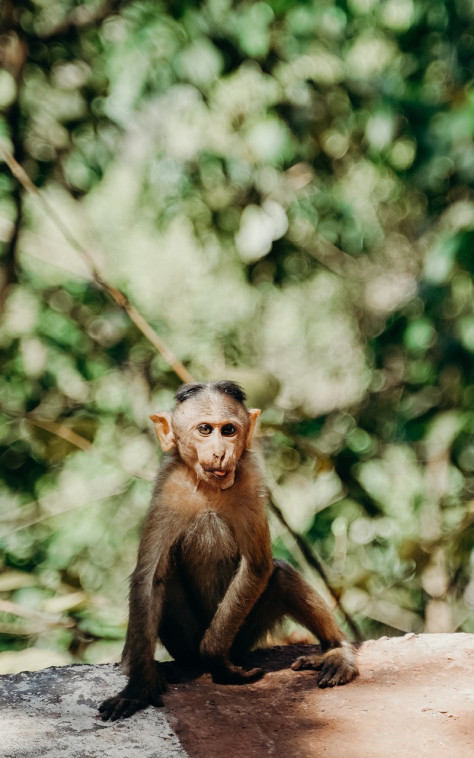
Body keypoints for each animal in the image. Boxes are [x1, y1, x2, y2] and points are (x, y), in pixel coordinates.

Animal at [100, 382, 360, 720]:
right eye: (205, 430)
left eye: (229, 430)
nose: (220, 453)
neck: (208, 487)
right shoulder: (167, 492)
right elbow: (149, 579)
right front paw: (138, 686)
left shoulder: (250, 481)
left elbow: (258, 565)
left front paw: (217, 662)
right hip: (186, 641)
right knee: (169, 583)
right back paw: (182, 667)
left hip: (243, 636)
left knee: (282, 575)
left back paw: (336, 649)